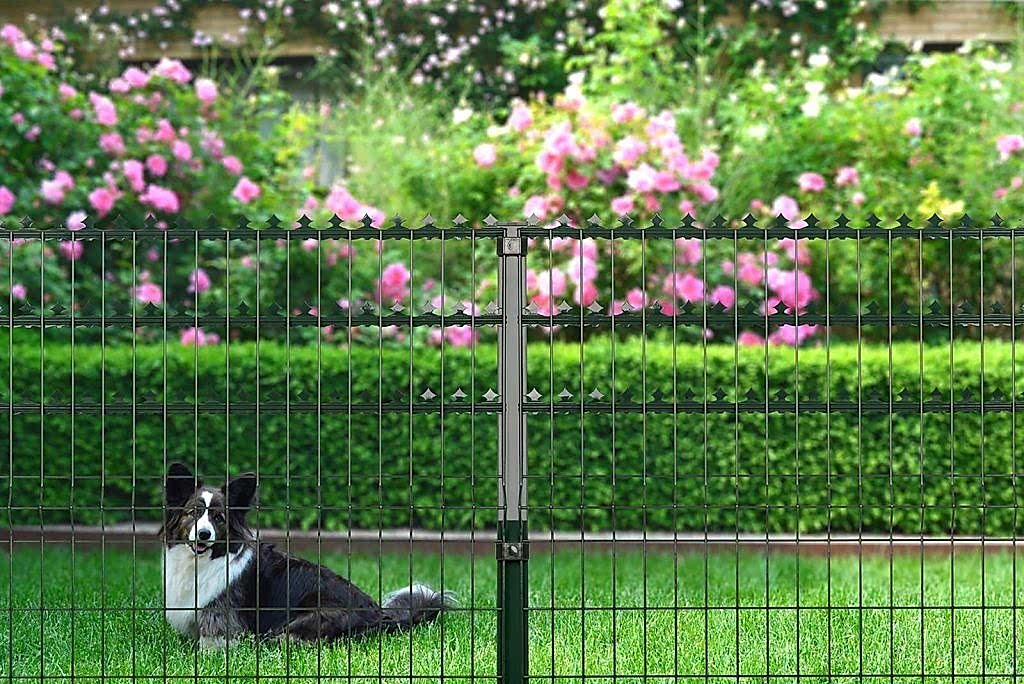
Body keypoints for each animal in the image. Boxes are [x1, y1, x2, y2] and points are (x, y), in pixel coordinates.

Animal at [161, 462, 450, 651]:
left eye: (219, 518)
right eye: (192, 513)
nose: (204, 534)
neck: (201, 561)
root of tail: (380, 616)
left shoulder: (223, 621)